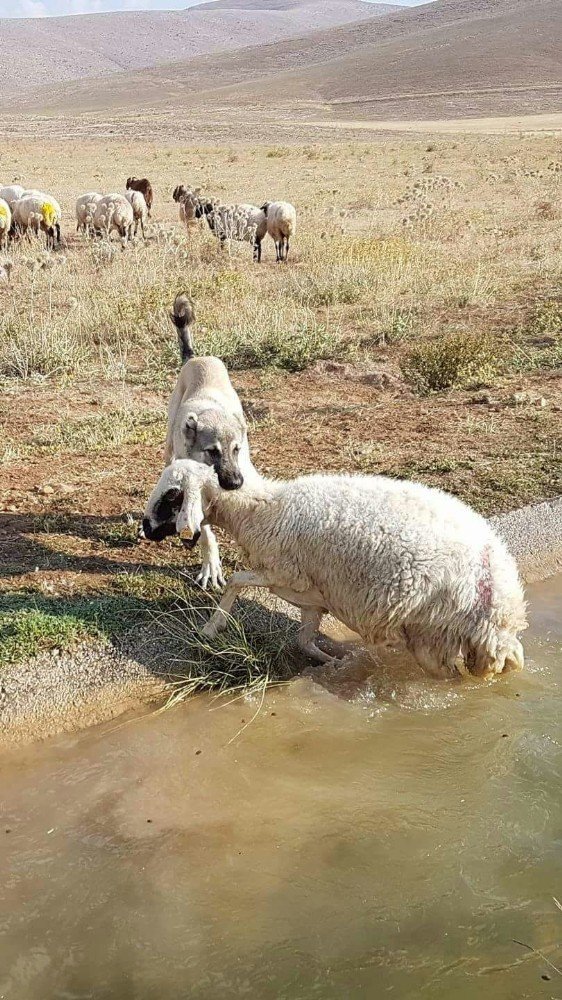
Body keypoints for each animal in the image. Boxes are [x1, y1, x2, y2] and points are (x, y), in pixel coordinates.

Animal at [143, 460, 524, 680]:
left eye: (172, 494)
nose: (145, 529)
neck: (261, 510)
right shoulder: (311, 596)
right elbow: (304, 640)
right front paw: (335, 662)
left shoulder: (284, 572)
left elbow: (236, 580)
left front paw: (211, 627)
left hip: (433, 633)